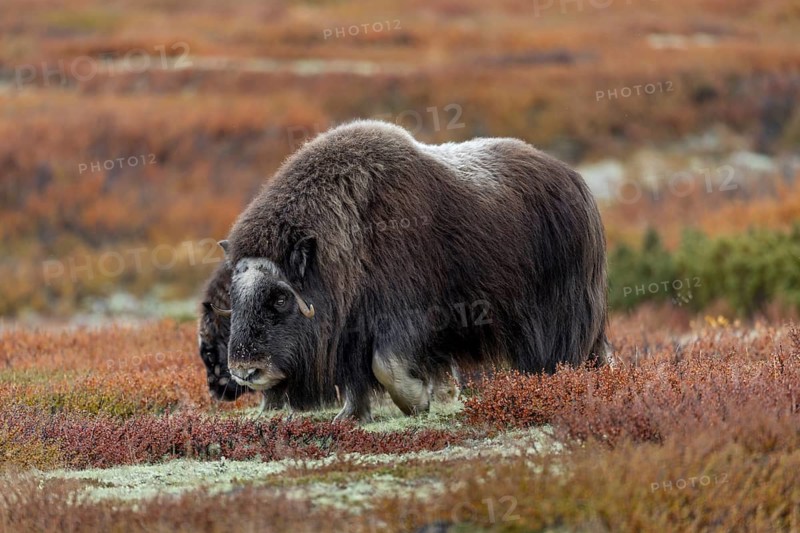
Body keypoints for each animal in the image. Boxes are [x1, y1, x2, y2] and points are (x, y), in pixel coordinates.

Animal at [211, 120, 608, 422]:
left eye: (280, 298)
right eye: (234, 295)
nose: (244, 371)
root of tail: (575, 181)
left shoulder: (407, 313)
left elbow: (385, 364)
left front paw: (419, 400)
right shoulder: (351, 328)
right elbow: (357, 376)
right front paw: (350, 417)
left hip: (562, 307)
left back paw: (553, 386)